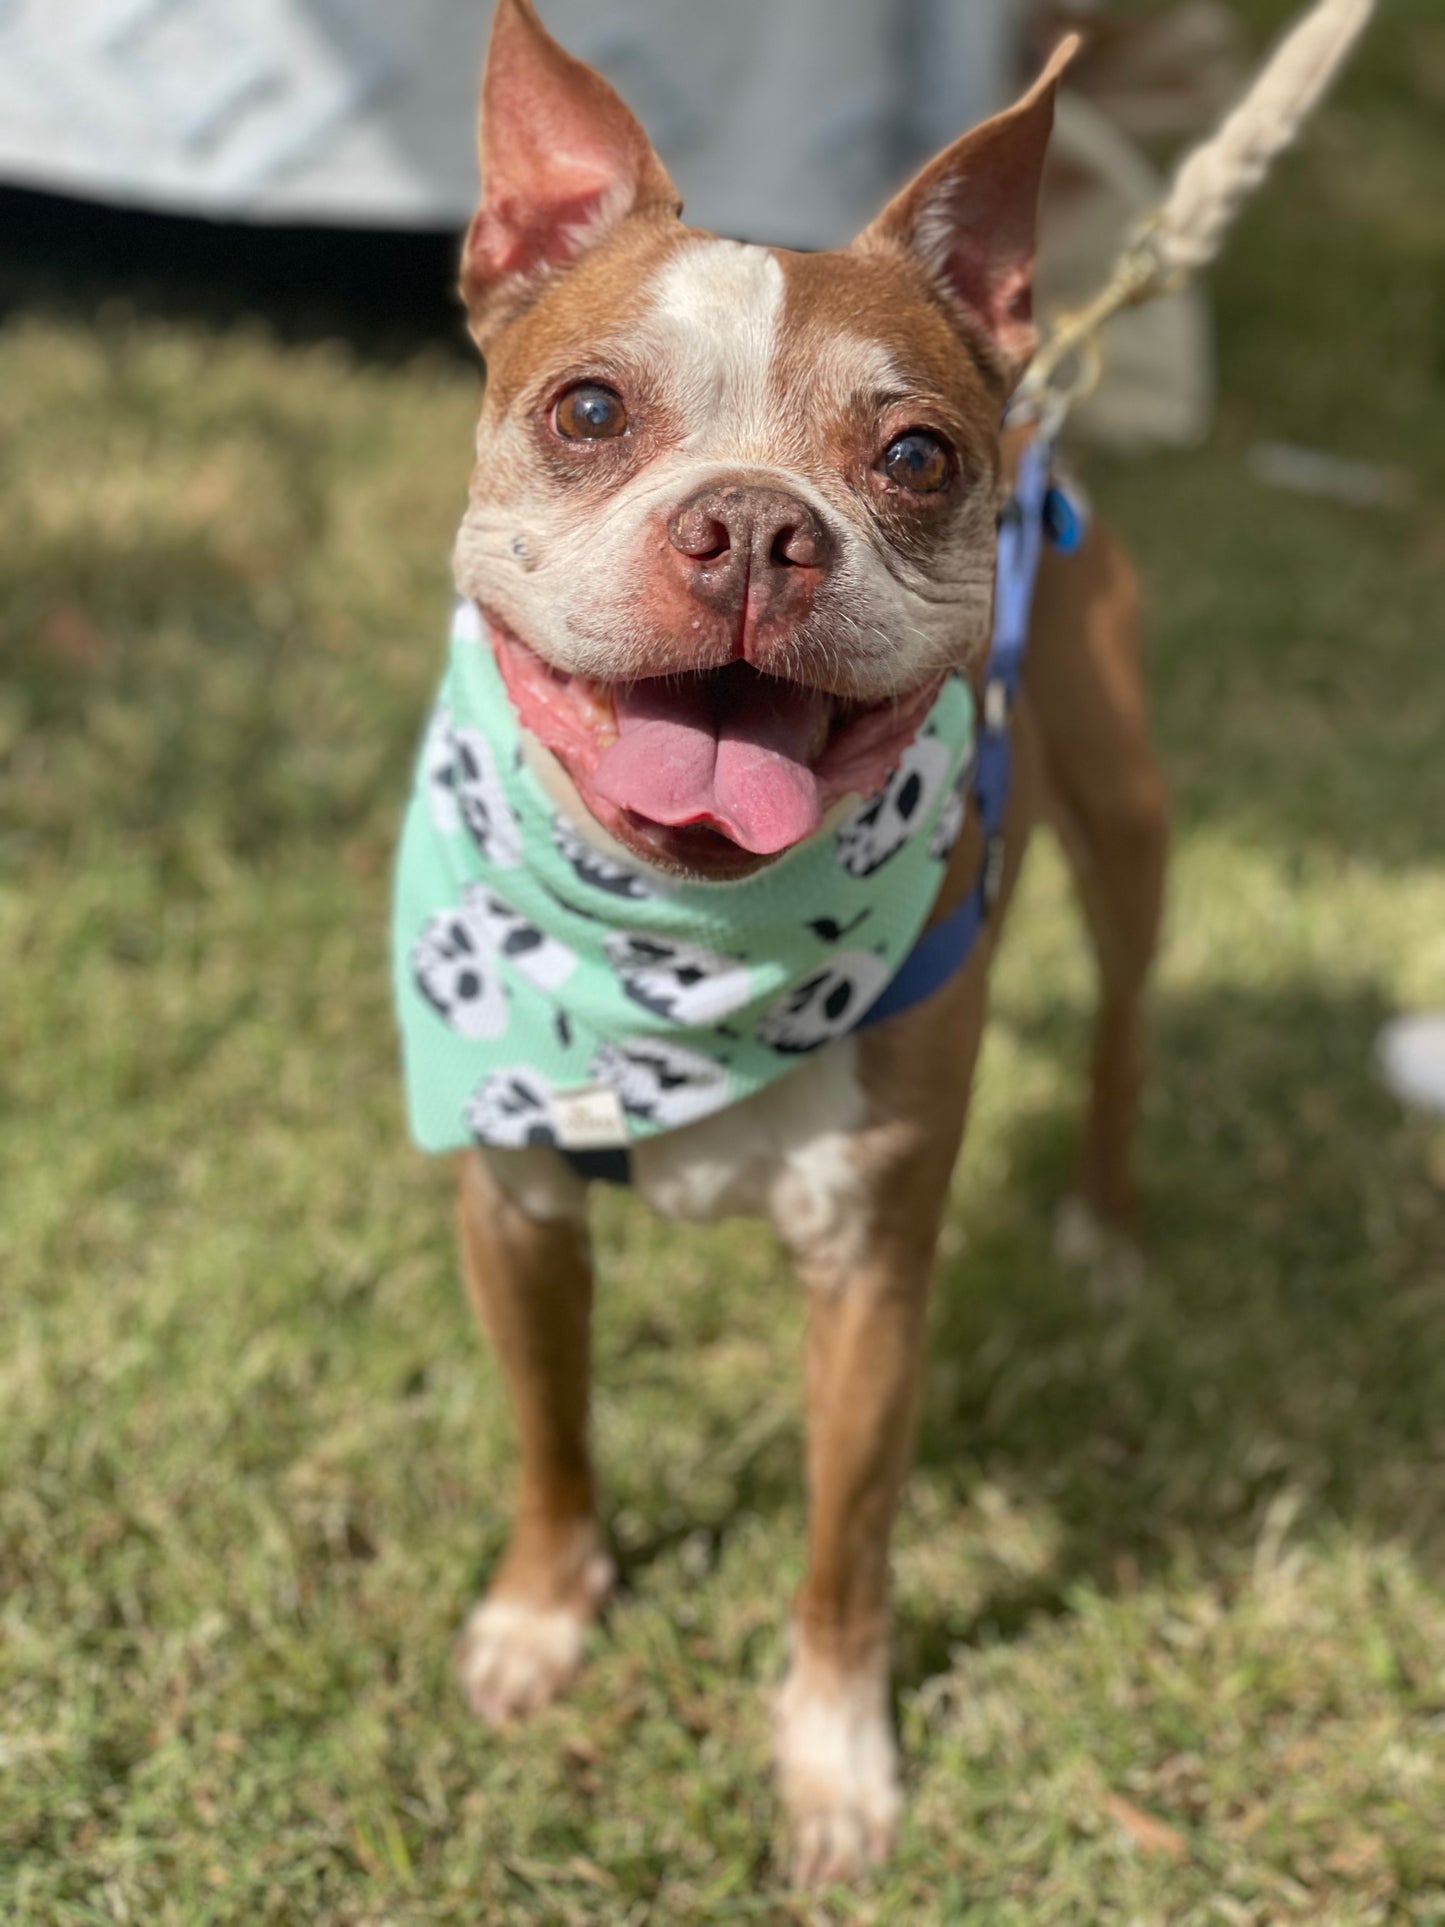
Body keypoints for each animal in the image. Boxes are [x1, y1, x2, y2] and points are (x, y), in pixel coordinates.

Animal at [393, 0, 1163, 1880]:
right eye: (591, 408)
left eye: (915, 457)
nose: (751, 524)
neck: (682, 949)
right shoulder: (512, 1209)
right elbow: (551, 1430)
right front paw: (543, 1609)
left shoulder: (874, 1280)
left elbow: (846, 1541)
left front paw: (832, 1758)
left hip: (1126, 825)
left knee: (1122, 1022)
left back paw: (1105, 1229)